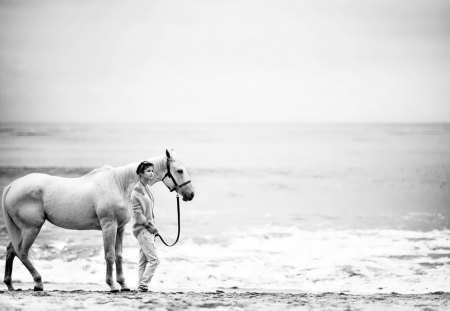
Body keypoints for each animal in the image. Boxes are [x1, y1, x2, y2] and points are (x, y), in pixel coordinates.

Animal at [1, 151, 195, 292]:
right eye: (179, 170)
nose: (191, 194)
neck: (119, 184)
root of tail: (12, 186)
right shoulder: (109, 225)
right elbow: (109, 255)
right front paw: (112, 285)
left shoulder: (120, 227)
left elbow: (119, 255)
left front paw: (124, 285)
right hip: (31, 228)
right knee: (22, 252)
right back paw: (38, 282)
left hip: (22, 229)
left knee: (11, 250)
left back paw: (10, 284)